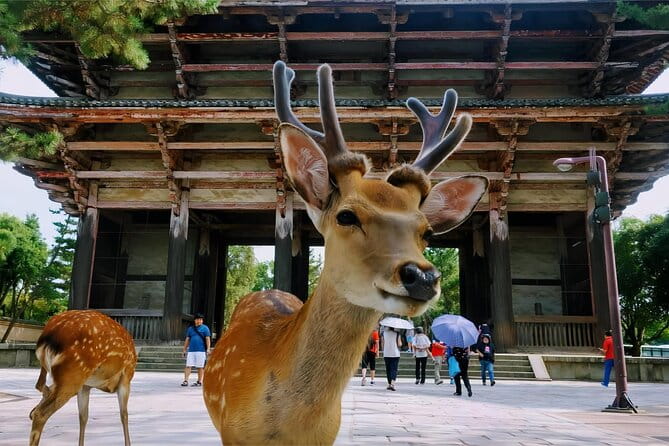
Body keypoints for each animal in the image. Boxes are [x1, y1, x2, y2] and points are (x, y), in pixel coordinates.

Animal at [29, 309, 137, 446]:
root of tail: (48, 336)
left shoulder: (86, 386)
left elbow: (83, 417)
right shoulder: (126, 377)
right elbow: (124, 415)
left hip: (64, 375)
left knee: (39, 388)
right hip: (73, 373)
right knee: (40, 413)